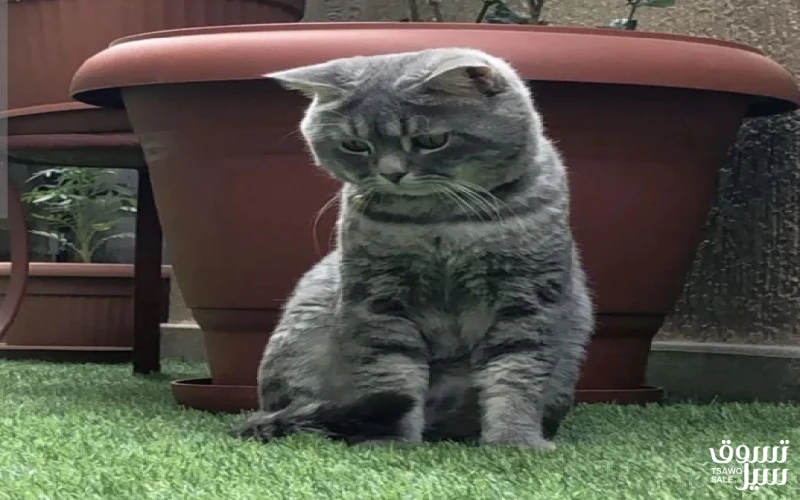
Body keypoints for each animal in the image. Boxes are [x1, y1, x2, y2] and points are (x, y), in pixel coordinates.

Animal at [231, 47, 594, 451]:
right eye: (355, 145)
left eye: (431, 140)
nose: (392, 173)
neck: (441, 222)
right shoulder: (380, 300)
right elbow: (393, 377)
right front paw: (391, 441)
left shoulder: (527, 300)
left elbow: (516, 376)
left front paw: (514, 441)